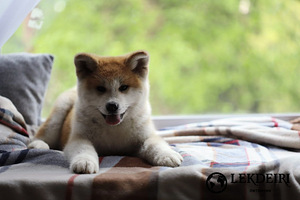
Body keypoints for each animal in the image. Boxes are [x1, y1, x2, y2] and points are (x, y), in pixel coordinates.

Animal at [28, 50, 183, 173]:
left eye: (123, 87)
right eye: (101, 88)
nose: (112, 106)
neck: (113, 129)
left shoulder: (144, 137)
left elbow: (155, 144)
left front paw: (167, 155)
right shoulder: (79, 138)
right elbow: (85, 150)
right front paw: (85, 162)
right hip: (60, 110)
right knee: (40, 135)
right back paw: (38, 145)